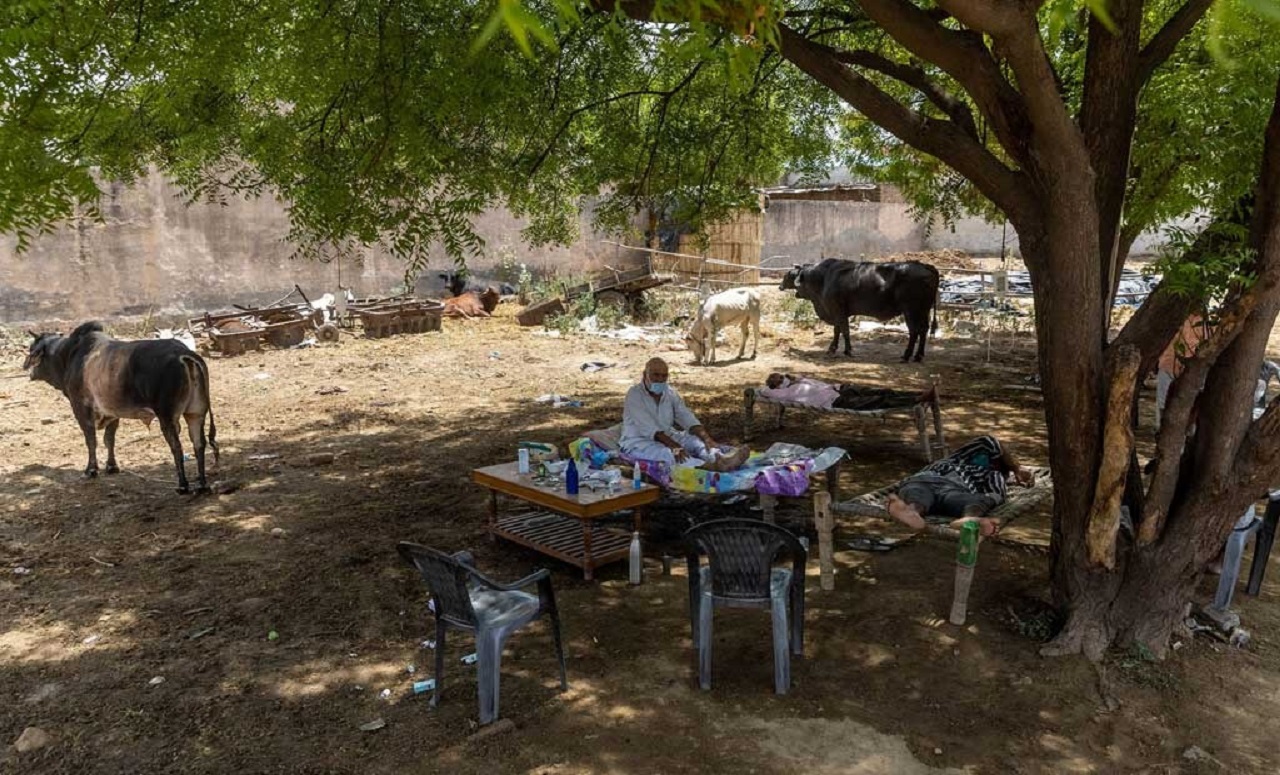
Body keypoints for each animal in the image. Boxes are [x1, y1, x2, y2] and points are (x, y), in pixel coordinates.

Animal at [23, 321, 220, 491]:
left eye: (32, 349)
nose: (27, 368)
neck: (69, 354)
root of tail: (183, 353)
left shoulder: (81, 407)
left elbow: (91, 440)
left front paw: (91, 470)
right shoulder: (112, 412)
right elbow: (109, 439)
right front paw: (111, 466)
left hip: (167, 416)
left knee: (177, 446)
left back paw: (182, 486)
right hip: (196, 412)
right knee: (199, 444)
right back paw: (202, 484)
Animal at [778, 257, 942, 358]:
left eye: (787, 275)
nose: (780, 286)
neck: (823, 278)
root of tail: (925, 266)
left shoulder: (837, 310)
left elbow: (844, 330)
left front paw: (848, 350)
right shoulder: (838, 312)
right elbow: (838, 330)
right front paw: (833, 349)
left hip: (911, 311)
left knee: (914, 331)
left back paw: (907, 355)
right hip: (923, 310)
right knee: (923, 330)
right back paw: (918, 355)